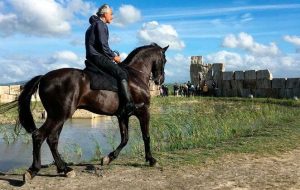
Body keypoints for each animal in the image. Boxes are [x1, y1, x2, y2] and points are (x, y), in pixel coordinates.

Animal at [18, 42, 169, 181]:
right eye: (165, 60)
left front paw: (108, 158)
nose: (160, 80)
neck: (135, 75)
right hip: (59, 115)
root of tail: (44, 77)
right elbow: (146, 136)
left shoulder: (122, 115)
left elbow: (125, 138)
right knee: (39, 136)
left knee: (52, 140)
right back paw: (34, 170)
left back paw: (64, 169)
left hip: (58, 116)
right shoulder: (144, 111)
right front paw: (151, 160)